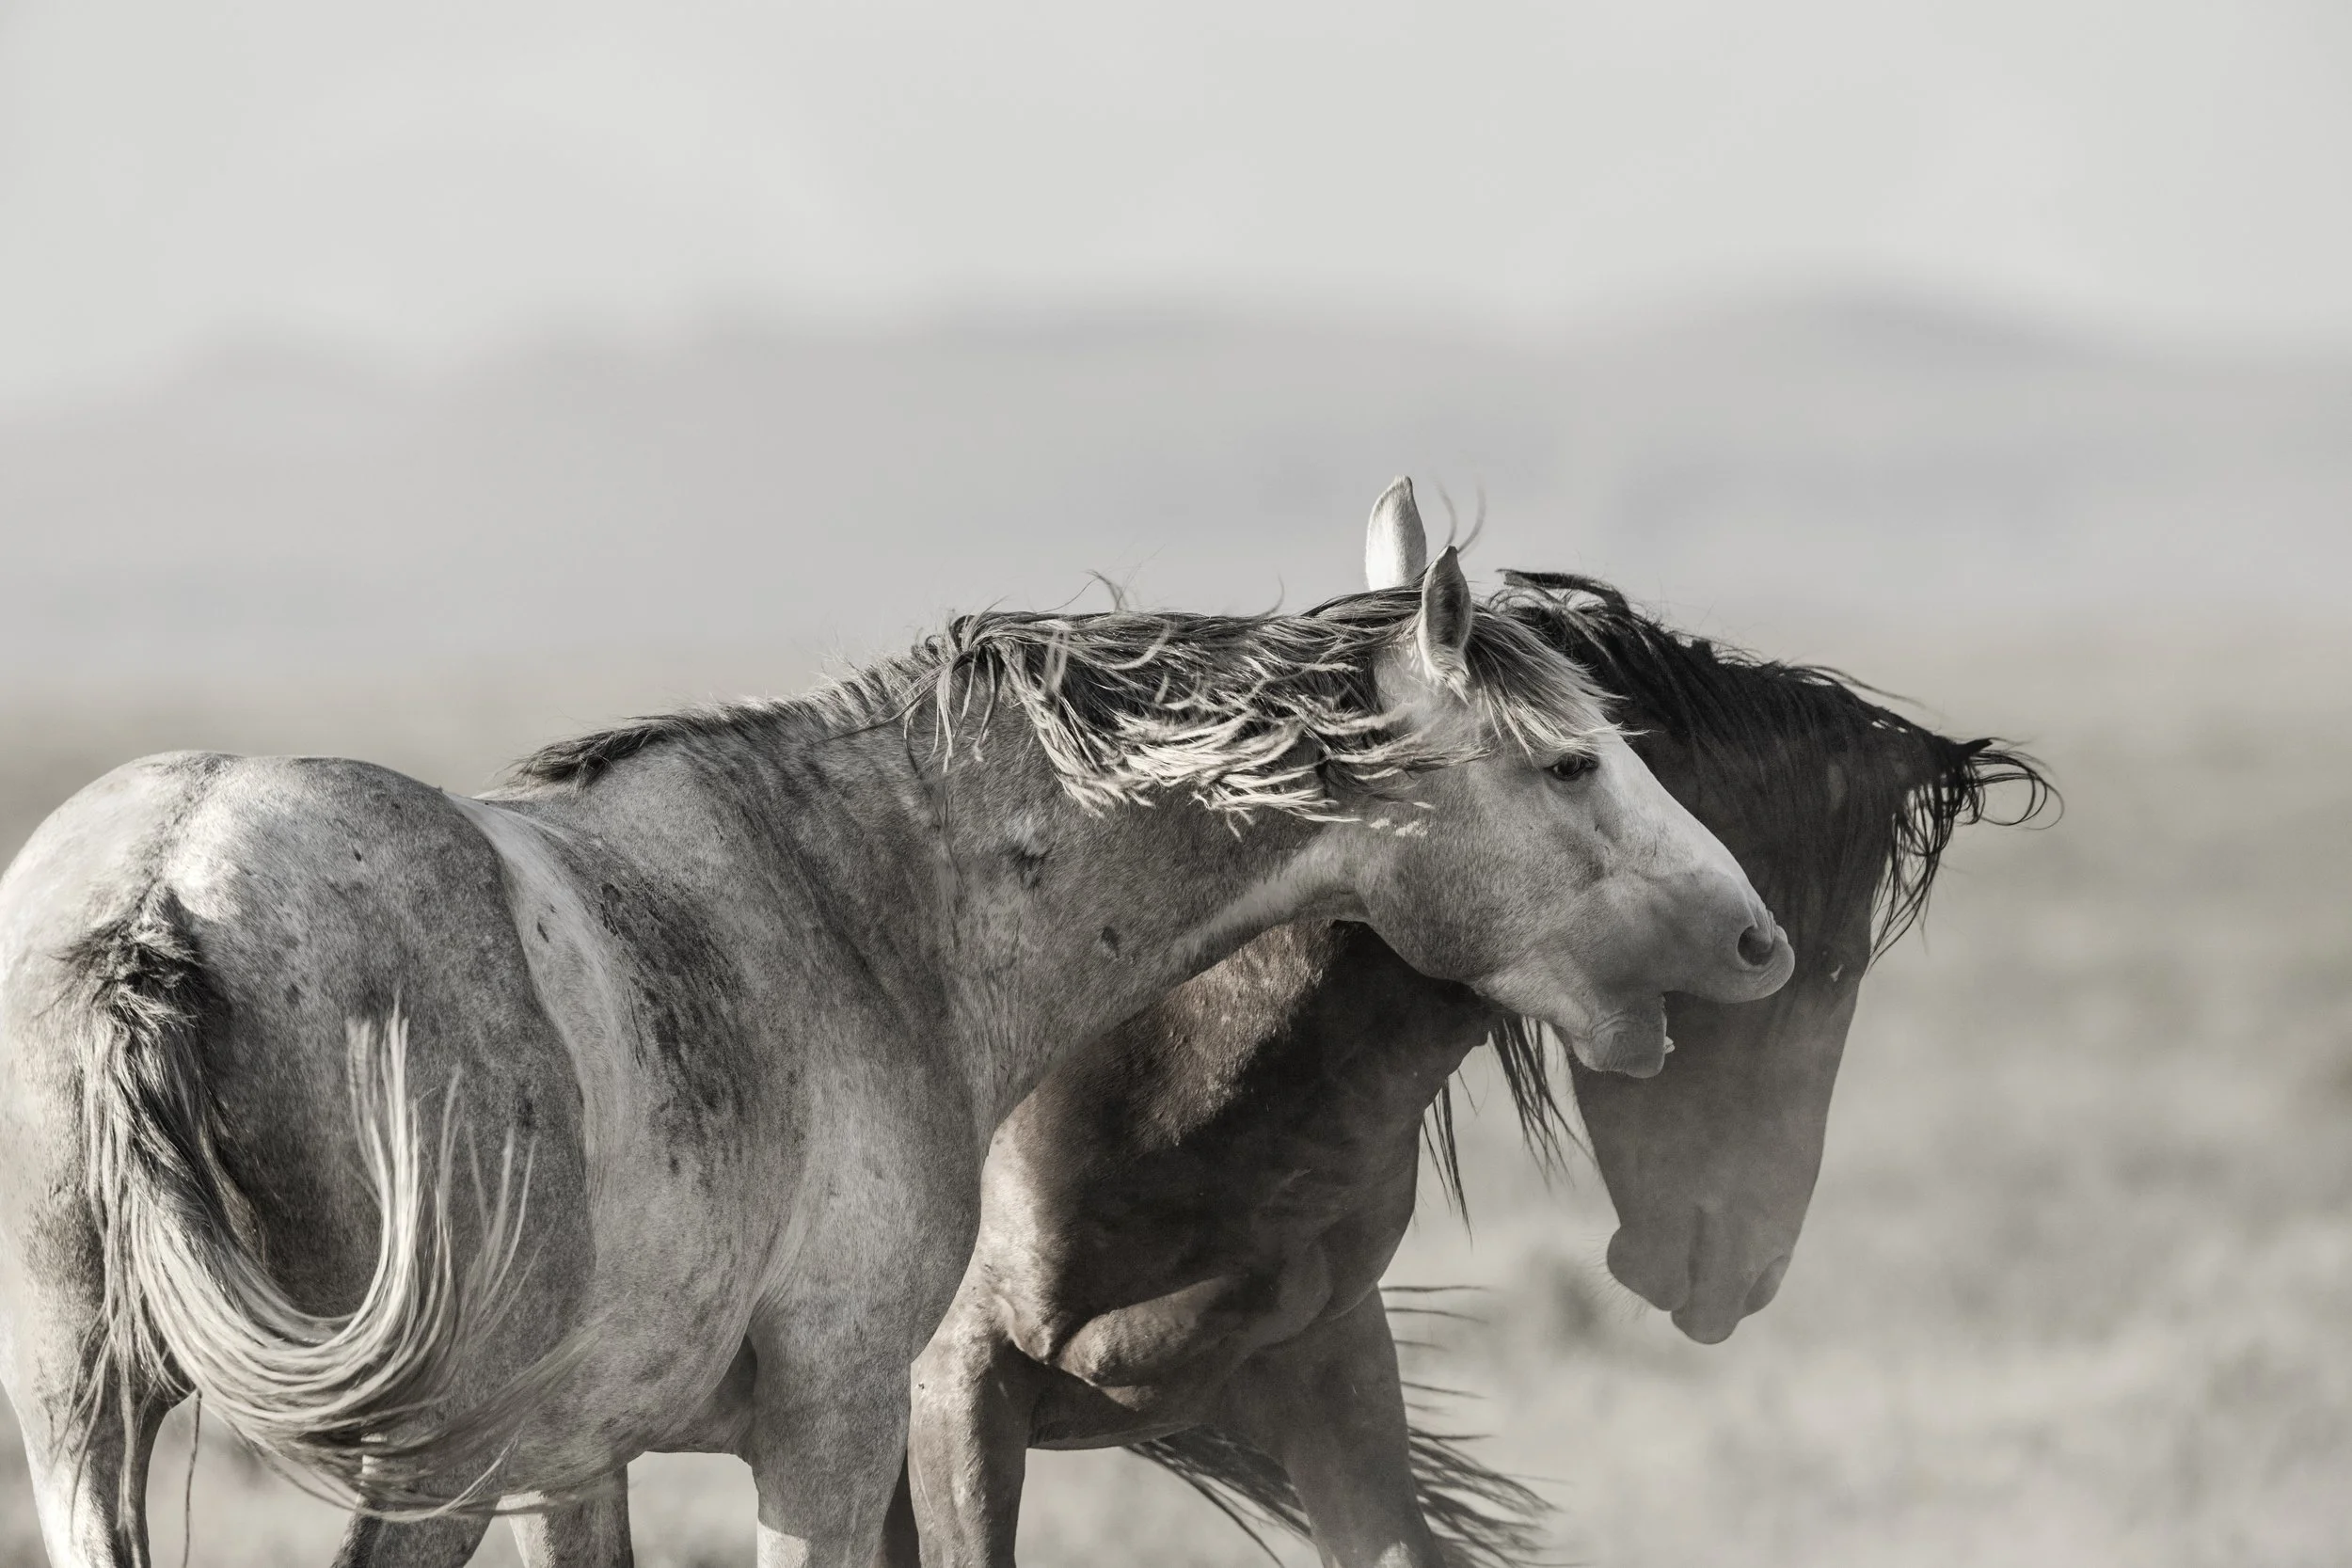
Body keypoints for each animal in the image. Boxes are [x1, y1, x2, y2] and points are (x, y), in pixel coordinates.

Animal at [0, 533, 1794, 1568]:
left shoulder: (582, 1463)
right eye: (1570, 765)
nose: (1757, 938)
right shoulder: (840, 1417)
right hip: (421, 1455)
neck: (863, 898)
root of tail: (163, 884)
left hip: (84, 1415)